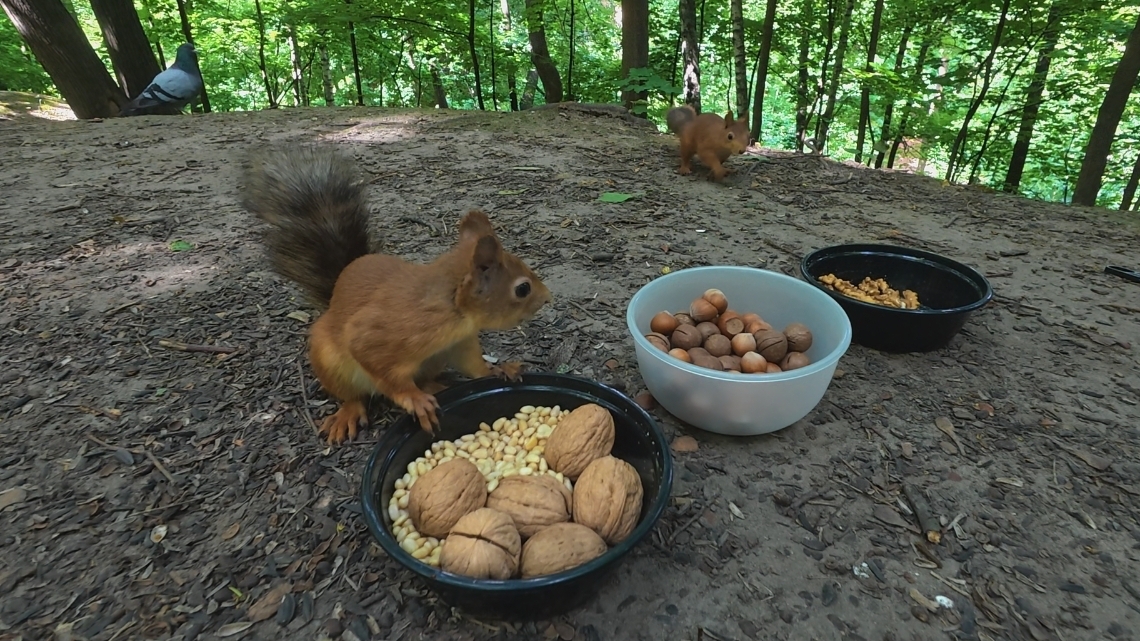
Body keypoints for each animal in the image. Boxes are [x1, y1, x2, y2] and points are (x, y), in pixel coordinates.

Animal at [241, 145, 553, 445]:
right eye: (522, 289)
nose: (547, 297)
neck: (452, 310)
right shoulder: (381, 334)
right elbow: (384, 373)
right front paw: (414, 400)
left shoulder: (458, 342)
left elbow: (473, 363)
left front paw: (498, 370)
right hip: (330, 361)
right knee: (352, 395)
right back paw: (350, 413)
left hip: (433, 360)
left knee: (425, 378)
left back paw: (435, 386)